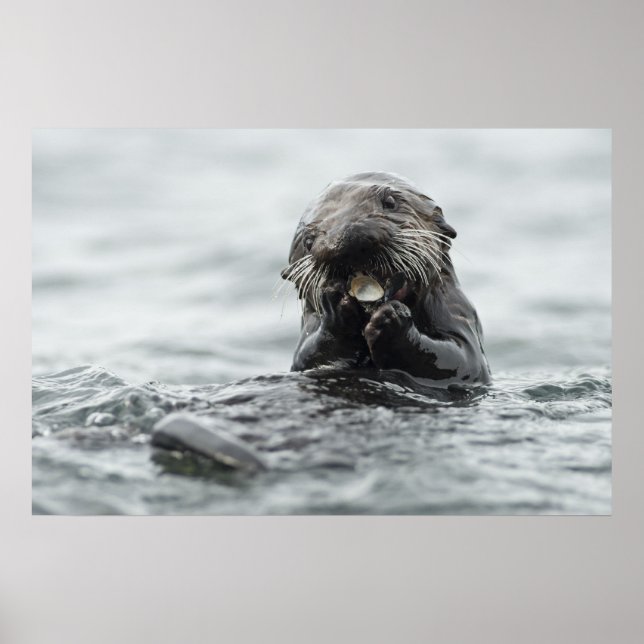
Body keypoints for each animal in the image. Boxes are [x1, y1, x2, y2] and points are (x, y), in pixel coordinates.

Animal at [281, 172, 490, 385]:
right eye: (308, 241)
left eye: (390, 202)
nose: (345, 239)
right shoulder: (307, 352)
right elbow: (310, 357)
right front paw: (336, 308)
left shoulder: (457, 312)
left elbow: (462, 359)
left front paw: (392, 318)